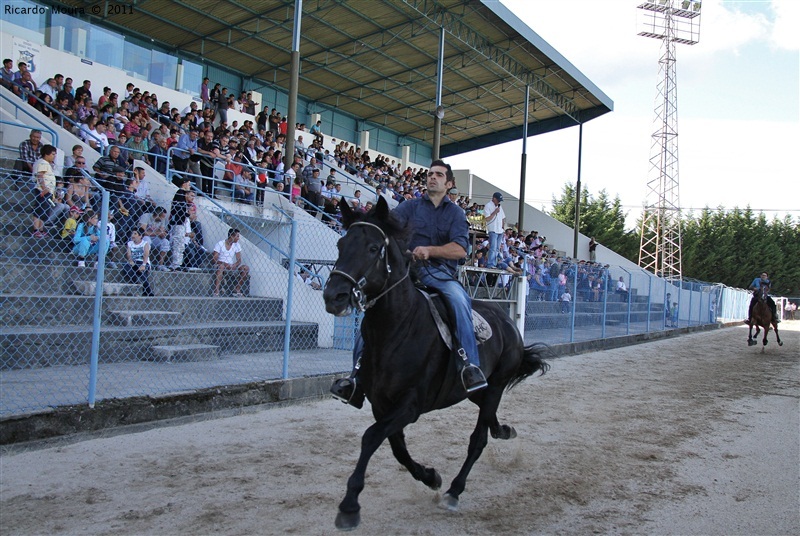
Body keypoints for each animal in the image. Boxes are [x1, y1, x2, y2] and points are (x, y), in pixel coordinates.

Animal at [322, 197, 548, 528]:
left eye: (374, 248)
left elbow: (371, 437)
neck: (399, 327)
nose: (334, 296)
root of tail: (507, 322)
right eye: (340, 244)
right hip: (477, 392)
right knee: (490, 423)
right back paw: (503, 431)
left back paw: (455, 490)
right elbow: (397, 448)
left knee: (478, 439)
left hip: (494, 385)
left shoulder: (410, 404)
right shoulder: (382, 404)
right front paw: (430, 476)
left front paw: (349, 505)